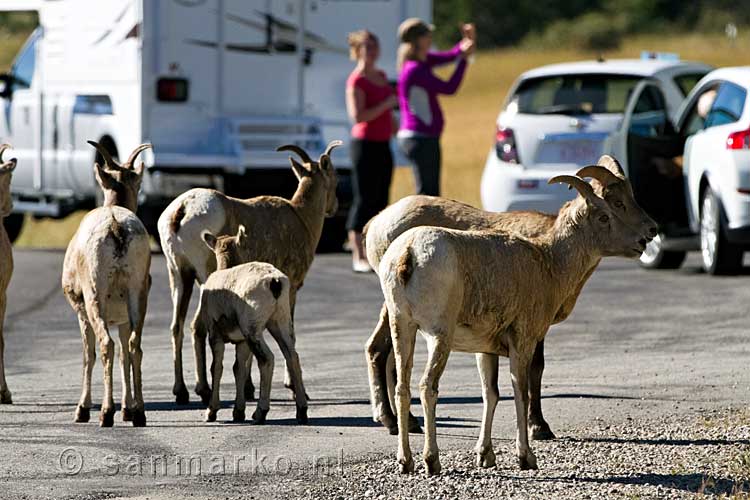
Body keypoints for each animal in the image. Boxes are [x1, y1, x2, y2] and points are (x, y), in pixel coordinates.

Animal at [63, 141, 154, 426]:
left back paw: (105, 413)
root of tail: (116, 227)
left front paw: (82, 411)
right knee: (135, 347)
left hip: (95, 296)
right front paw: (128, 409)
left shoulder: (81, 311)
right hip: (138, 295)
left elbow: (87, 355)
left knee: (106, 345)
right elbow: (126, 353)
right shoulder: (124, 317)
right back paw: (140, 414)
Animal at [162, 139, 344, 404]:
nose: (335, 207)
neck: (301, 217)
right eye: (335, 178)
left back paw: (182, 392)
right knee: (198, 326)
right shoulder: (291, 289)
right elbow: (290, 334)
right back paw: (203, 390)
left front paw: (248, 389)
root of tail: (182, 210)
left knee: (177, 326)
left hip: (178, 275)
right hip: (205, 276)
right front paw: (292, 388)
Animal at [195, 228, 310, 426]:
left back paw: (260, 413)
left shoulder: (215, 333)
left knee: (267, 359)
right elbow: (238, 369)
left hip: (253, 329)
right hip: (280, 322)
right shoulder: (241, 341)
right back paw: (301, 412)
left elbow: (216, 368)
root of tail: (274, 282)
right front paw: (238, 412)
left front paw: (211, 412)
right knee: (291, 356)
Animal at [378, 170, 656, 474]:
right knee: (427, 386)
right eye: (606, 215)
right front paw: (526, 457)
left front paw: (485, 456)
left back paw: (405, 461)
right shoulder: (523, 340)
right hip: (439, 336)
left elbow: (491, 394)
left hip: (402, 327)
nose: (643, 241)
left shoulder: (484, 350)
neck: (549, 263)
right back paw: (431, 460)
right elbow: (521, 392)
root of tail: (409, 253)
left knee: (402, 387)